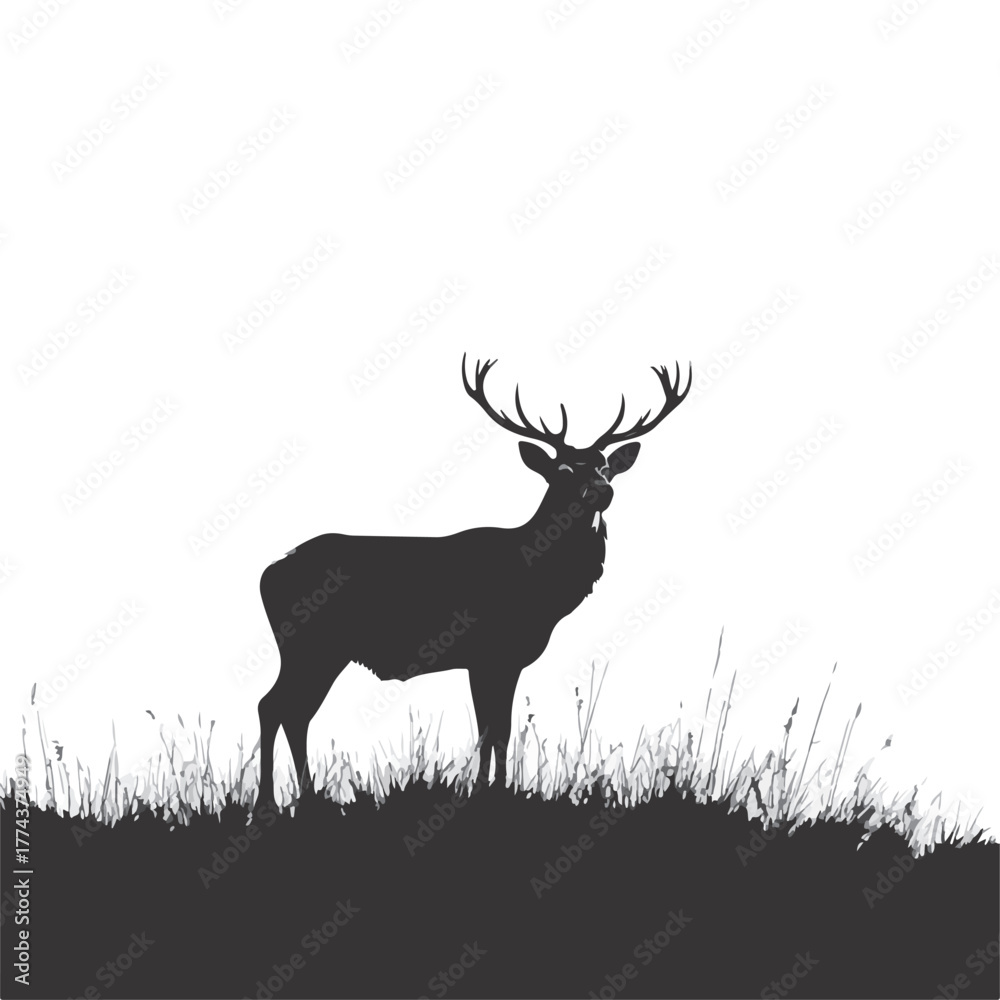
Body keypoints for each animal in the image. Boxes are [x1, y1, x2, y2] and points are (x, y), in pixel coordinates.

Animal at [255, 355, 691, 809]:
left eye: (607, 466)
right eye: (563, 470)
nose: (602, 491)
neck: (539, 583)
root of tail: (267, 573)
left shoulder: (501, 659)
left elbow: (499, 730)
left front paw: (497, 788)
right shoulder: (487, 653)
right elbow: (490, 730)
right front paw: (486, 792)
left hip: (317, 651)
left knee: (292, 711)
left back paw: (305, 797)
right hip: (310, 645)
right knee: (274, 706)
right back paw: (269, 801)